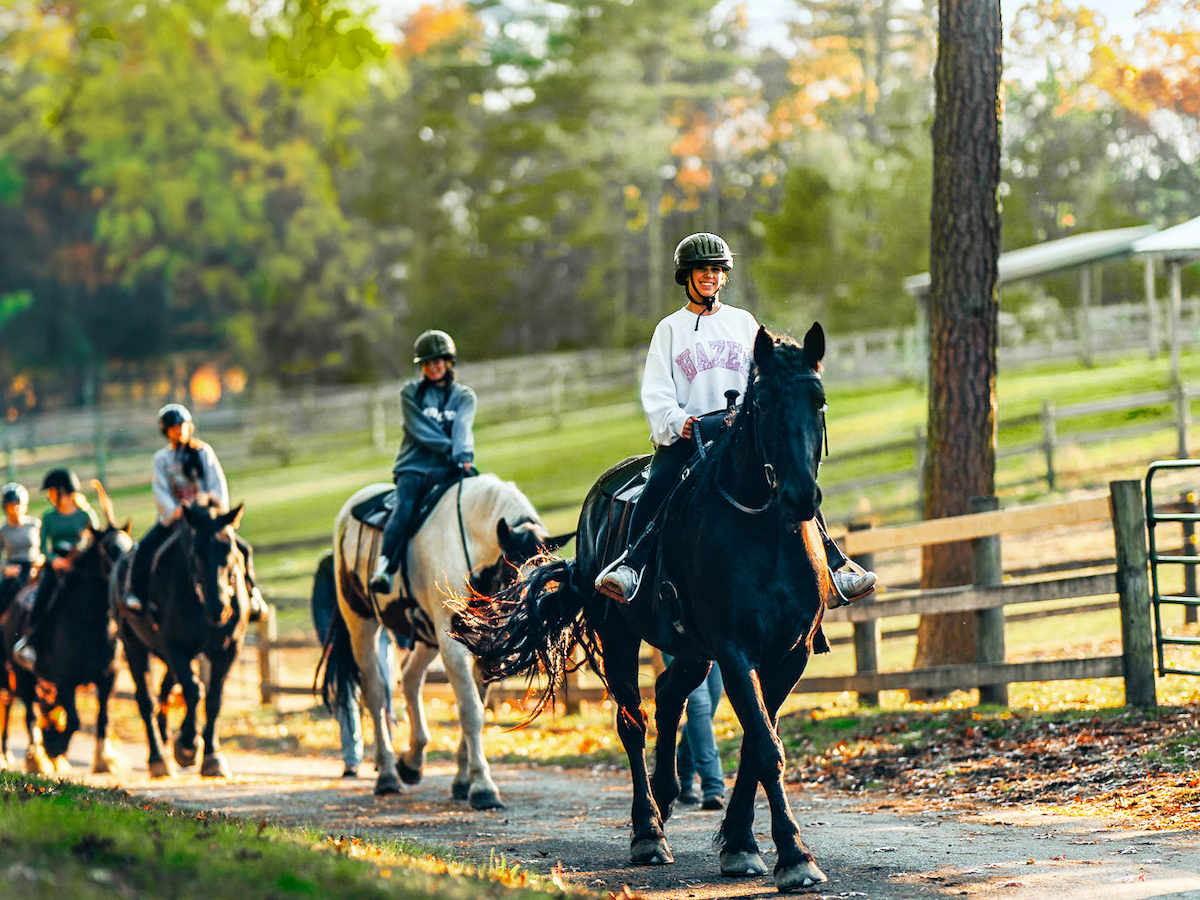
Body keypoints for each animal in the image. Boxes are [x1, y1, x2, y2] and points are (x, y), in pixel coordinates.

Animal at [0, 494, 132, 777]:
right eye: (109, 549)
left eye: (131, 547)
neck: (89, 625)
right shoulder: (64, 681)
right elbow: (74, 719)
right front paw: (54, 748)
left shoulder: (108, 678)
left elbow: (102, 718)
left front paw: (104, 760)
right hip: (22, 674)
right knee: (28, 711)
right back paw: (35, 758)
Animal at [114, 504, 250, 777]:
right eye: (195, 552)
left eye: (229, 550)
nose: (219, 608)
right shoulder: (177, 647)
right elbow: (194, 690)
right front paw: (188, 744)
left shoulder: (228, 649)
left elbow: (214, 698)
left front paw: (211, 755)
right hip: (133, 645)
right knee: (146, 700)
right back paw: (158, 757)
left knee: (165, 691)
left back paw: (167, 739)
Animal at [331, 475, 568, 806]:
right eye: (514, 579)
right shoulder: (455, 648)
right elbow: (470, 711)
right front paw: (482, 787)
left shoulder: (486, 646)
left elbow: (476, 706)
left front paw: (462, 780)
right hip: (362, 626)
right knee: (376, 693)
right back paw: (388, 774)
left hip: (427, 638)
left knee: (410, 676)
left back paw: (411, 761)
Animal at [453, 326, 840, 897]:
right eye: (765, 404)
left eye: (818, 400)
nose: (799, 497)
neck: (764, 531)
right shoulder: (735, 651)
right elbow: (765, 747)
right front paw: (794, 856)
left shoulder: (788, 656)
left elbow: (756, 744)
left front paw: (741, 843)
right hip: (620, 639)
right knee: (633, 722)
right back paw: (648, 831)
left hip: (693, 651)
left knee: (668, 695)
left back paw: (667, 794)